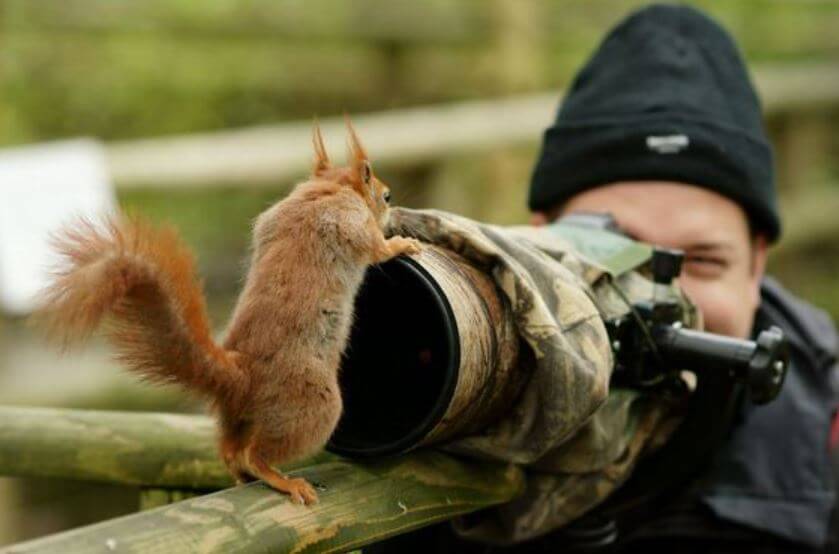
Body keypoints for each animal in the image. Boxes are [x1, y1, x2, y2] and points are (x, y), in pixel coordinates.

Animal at [36, 121, 422, 505]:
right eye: (386, 196)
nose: (393, 209)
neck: (327, 188)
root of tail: (241, 376)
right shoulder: (349, 221)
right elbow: (377, 249)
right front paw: (402, 243)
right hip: (314, 406)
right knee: (255, 454)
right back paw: (285, 481)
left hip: (236, 419)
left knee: (231, 452)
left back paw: (241, 474)